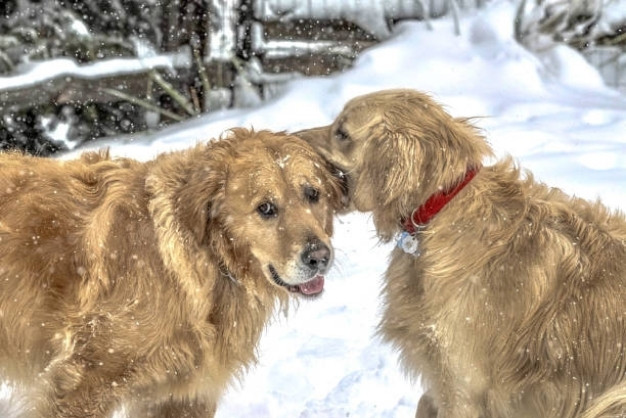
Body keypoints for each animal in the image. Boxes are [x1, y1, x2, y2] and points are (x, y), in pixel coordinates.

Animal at [0, 128, 342, 418]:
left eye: (313, 194)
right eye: (266, 208)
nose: (319, 257)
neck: (209, 260)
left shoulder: (180, 396)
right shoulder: (84, 380)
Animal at [294, 90, 624, 418]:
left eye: (342, 133)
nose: (292, 140)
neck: (442, 204)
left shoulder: (464, 384)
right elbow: (424, 402)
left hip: (610, 400)